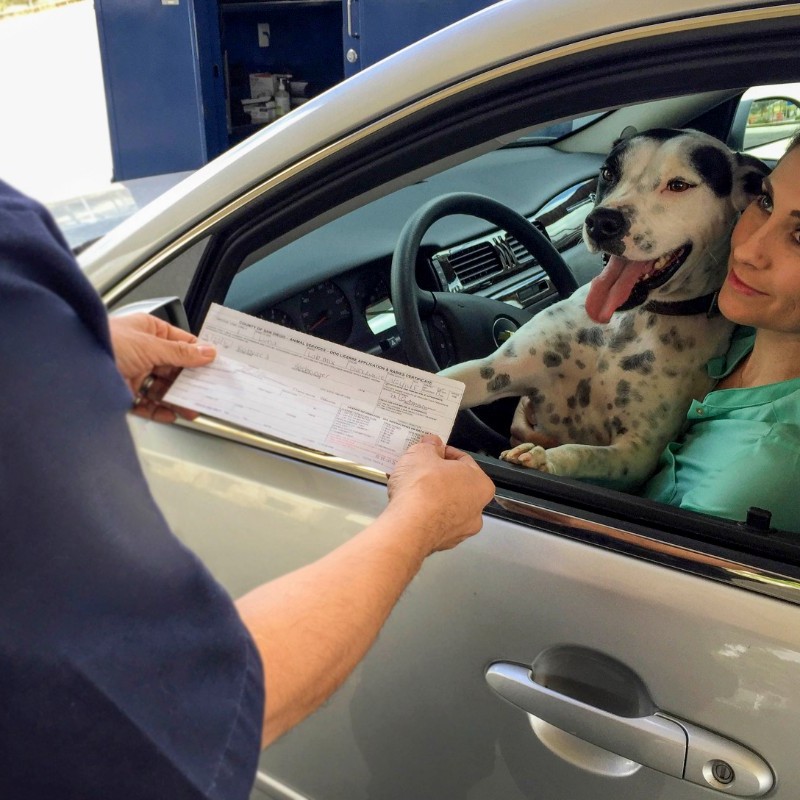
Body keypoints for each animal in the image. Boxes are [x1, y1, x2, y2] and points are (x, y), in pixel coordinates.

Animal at [440, 128, 764, 488]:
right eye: (608, 173)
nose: (601, 222)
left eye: (679, 185)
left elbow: (581, 453)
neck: (630, 322)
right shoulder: (493, 370)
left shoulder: (637, 453)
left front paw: (543, 459)